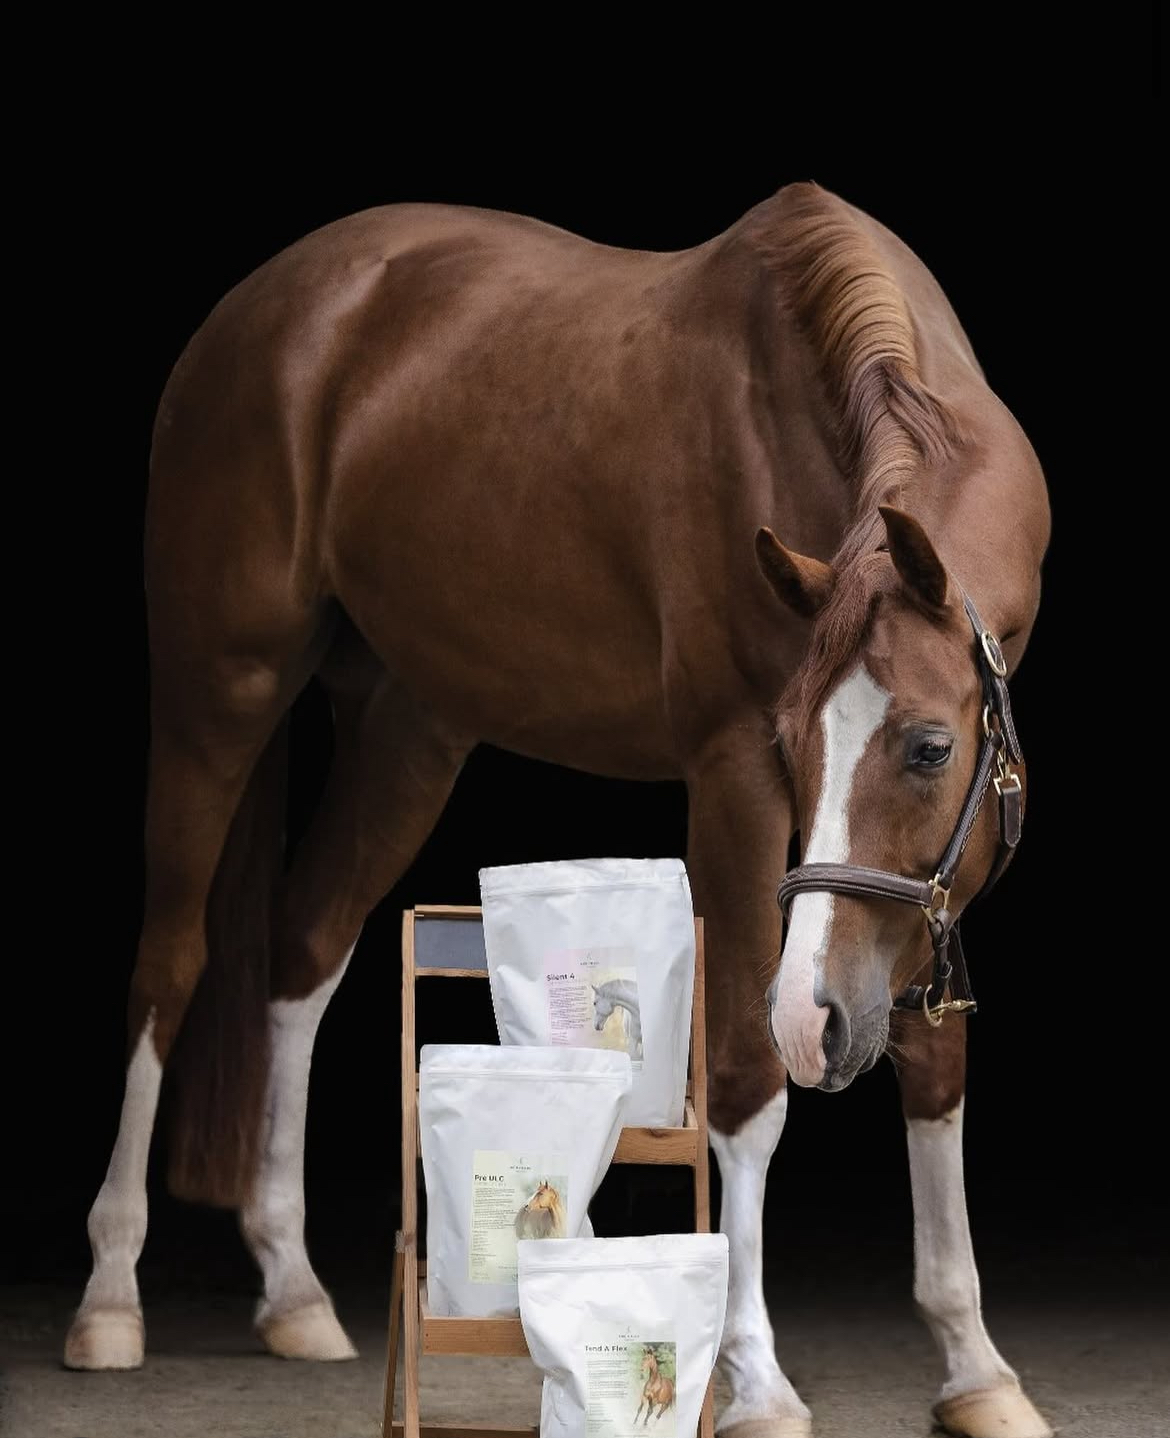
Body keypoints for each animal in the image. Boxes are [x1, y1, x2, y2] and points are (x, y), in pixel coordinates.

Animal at [64, 181, 1051, 1438]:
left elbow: (935, 1071)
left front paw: (977, 1368)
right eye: (790, 745)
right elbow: (743, 1081)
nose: (817, 1018)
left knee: (304, 953)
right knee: (170, 965)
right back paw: (109, 1299)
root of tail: (265, 309)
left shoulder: (935, 879)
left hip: (407, 728)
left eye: (930, 746)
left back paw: (293, 1291)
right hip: (218, 691)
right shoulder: (729, 775)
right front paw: (755, 1377)